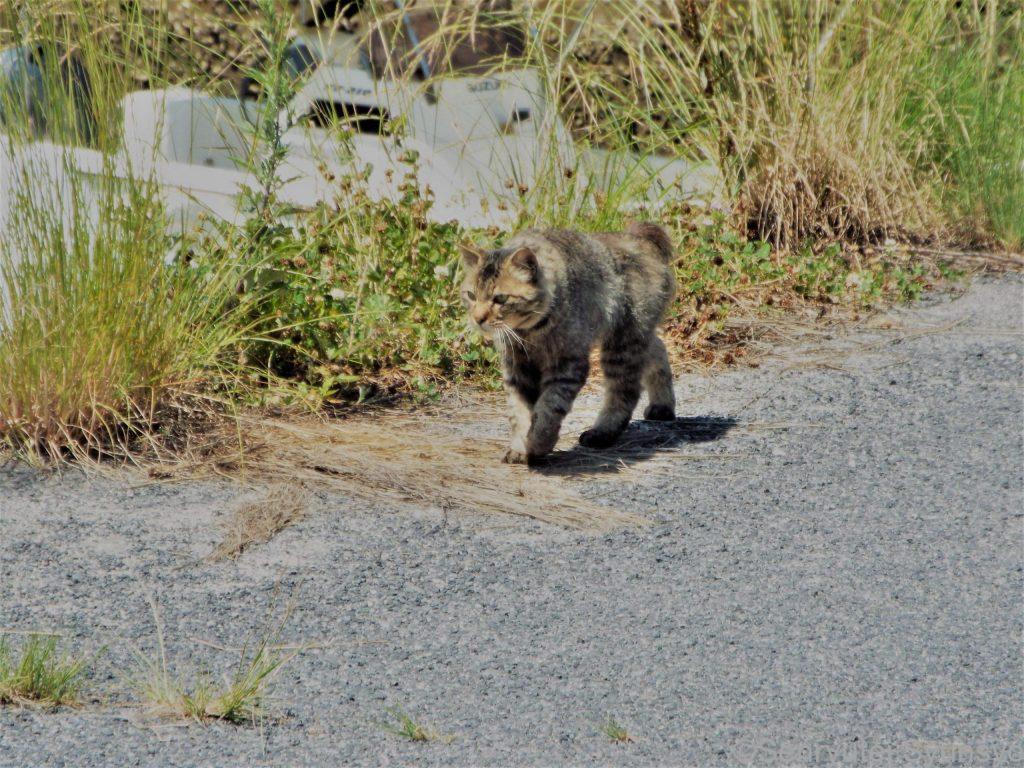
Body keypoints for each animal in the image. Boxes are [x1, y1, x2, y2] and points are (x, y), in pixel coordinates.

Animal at [460, 219, 675, 466]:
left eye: (500, 299)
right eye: (471, 295)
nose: (478, 318)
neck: (530, 333)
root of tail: (637, 238)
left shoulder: (567, 365)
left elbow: (548, 408)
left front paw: (539, 443)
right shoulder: (516, 369)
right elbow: (519, 413)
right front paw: (520, 448)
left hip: (622, 344)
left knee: (624, 391)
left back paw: (602, 432)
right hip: (634, 337)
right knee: (658, 348)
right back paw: (662, 406)